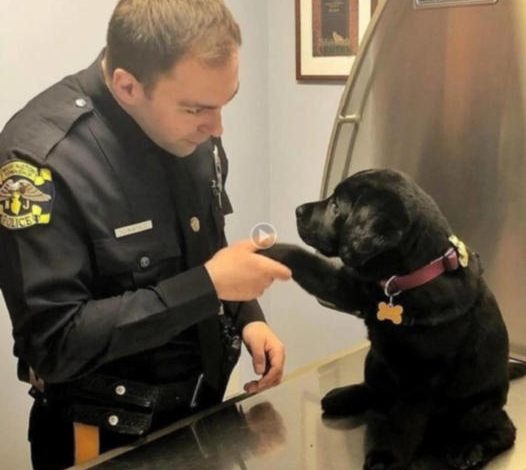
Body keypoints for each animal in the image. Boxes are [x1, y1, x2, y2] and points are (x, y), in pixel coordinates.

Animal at [264, 169, 526, 470]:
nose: (298, 210)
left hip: (474, 408)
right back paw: (345, 396)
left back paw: (470, 449)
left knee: (502, 429)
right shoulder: (349, 288)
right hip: (375, 361)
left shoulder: (421, 380)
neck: (403, 281)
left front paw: (385, 456)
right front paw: (261, 252)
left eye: (336, 206)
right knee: (375, 391)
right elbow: (305, 261)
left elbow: (402, 421)